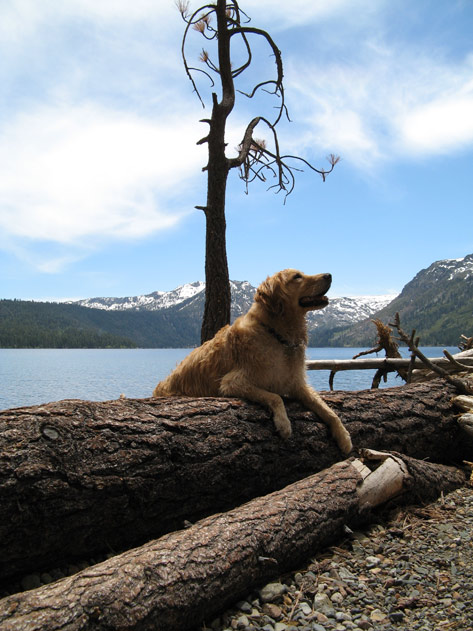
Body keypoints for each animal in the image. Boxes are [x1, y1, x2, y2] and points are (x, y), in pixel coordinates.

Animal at [153, 268, 352, 454]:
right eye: (297, 277)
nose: (329, 275)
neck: (276, 334)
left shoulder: (297, 384)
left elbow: (327, 410)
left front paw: (343, 436)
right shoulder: (231, 383)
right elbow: (275, 397)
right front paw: (284, 424)